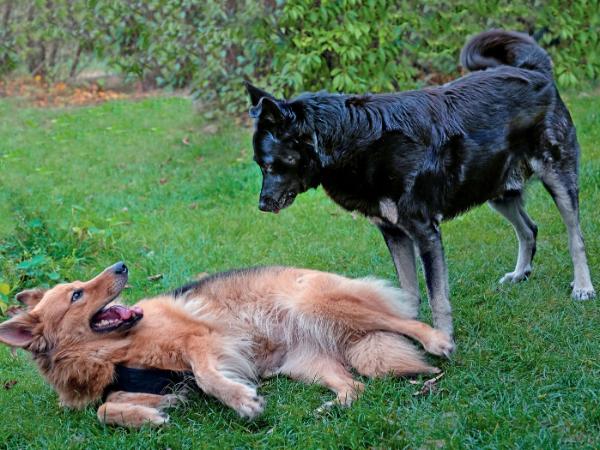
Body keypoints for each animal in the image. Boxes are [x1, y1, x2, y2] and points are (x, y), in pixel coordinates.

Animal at [0, 262, 450, 428]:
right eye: (76, 294)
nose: (121, 266)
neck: (114, 353)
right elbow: (105, 410)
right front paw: (152, 416)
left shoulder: (200, 339)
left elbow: (208, 376)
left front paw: (242, 401)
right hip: (305, 364)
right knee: (354, 386)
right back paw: (331, 408)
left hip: (321, 305)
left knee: (404, 319)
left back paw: (438, 340)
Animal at [244, 29, 596, 348]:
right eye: (259, 164)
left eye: (270, 165)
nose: (262, 204)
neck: (354, 141)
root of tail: (535, 70)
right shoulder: (394, 233)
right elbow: (407, 294)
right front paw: (409, 336)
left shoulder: (426, 232)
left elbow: (436, 296)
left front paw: (444, 341)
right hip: (497, 192)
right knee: (529, 229)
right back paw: (520, 273)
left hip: (559, 180)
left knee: (575, 237)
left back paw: (583, 286)